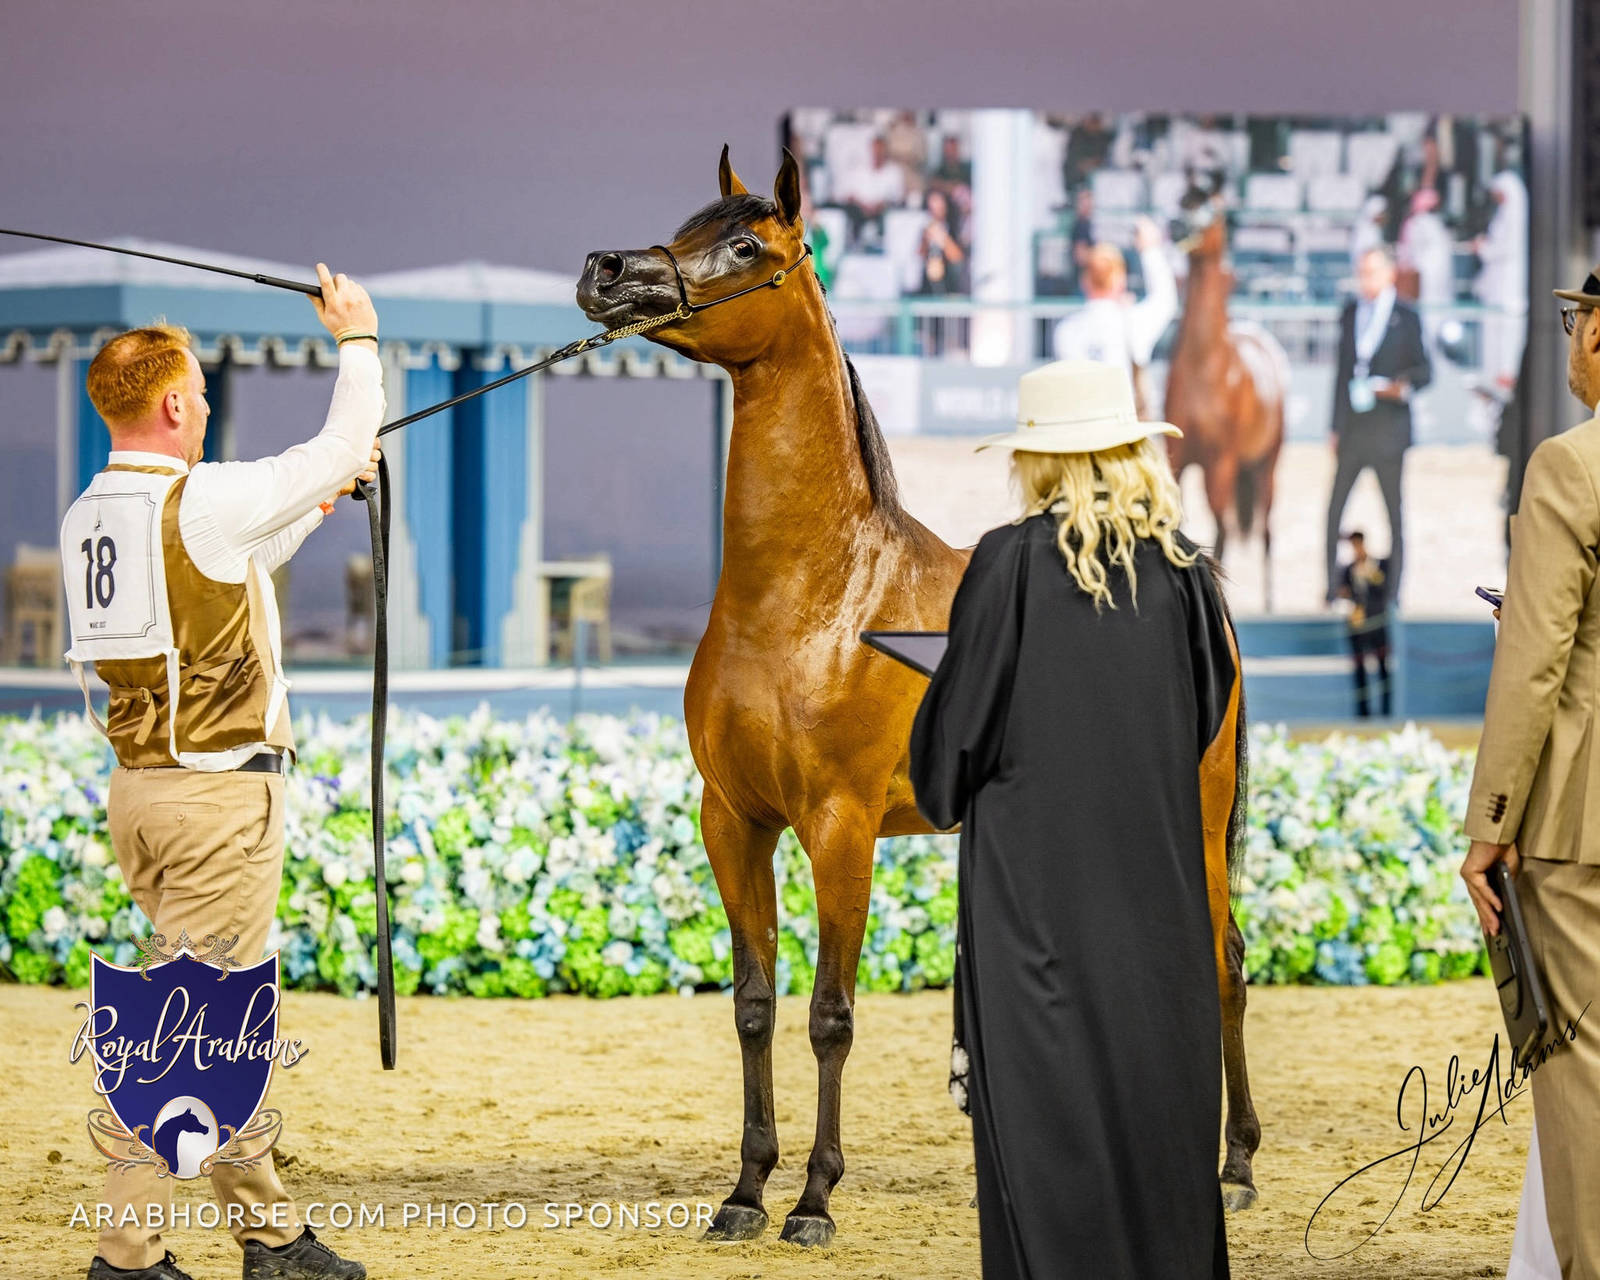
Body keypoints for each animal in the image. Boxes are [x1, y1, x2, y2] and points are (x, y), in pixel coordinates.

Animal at [576, 146, 1260, 1245]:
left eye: (746, 245)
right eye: (683, 226)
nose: (606, 270)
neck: (813, 595)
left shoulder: (840, 826)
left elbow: (830, 1013)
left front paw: (813, 1199)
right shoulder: (734, 821)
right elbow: (756, 1003)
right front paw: (745, 1191)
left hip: (1196, 819)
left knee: (1225, 960)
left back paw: (1233, 1168)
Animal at [1164, 187, 1289, 613]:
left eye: (1210, 209)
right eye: (1181, 202)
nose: (1177, 227)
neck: (1206, 366)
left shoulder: (1220, 463)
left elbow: (1222, 531)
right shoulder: (1177, 459)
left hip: (1266, 463)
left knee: (1262, 529)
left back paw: (1269, 601)